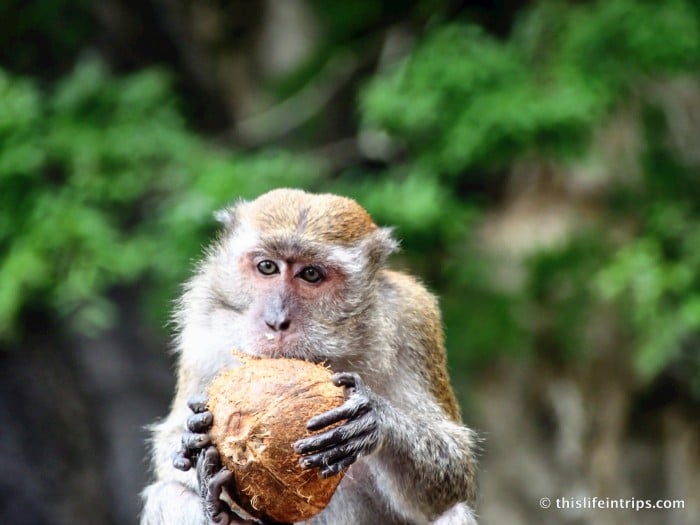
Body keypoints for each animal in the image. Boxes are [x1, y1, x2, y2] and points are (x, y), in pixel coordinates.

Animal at [140, 188, 478, 525]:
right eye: (267, 267)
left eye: (311, 274)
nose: (276, 321)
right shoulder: (201, 330)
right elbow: (169, 448)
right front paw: (195, 445)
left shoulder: (413, 320)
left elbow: (455, 468)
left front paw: (373, 419)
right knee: (169, 494)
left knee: (452, 512)